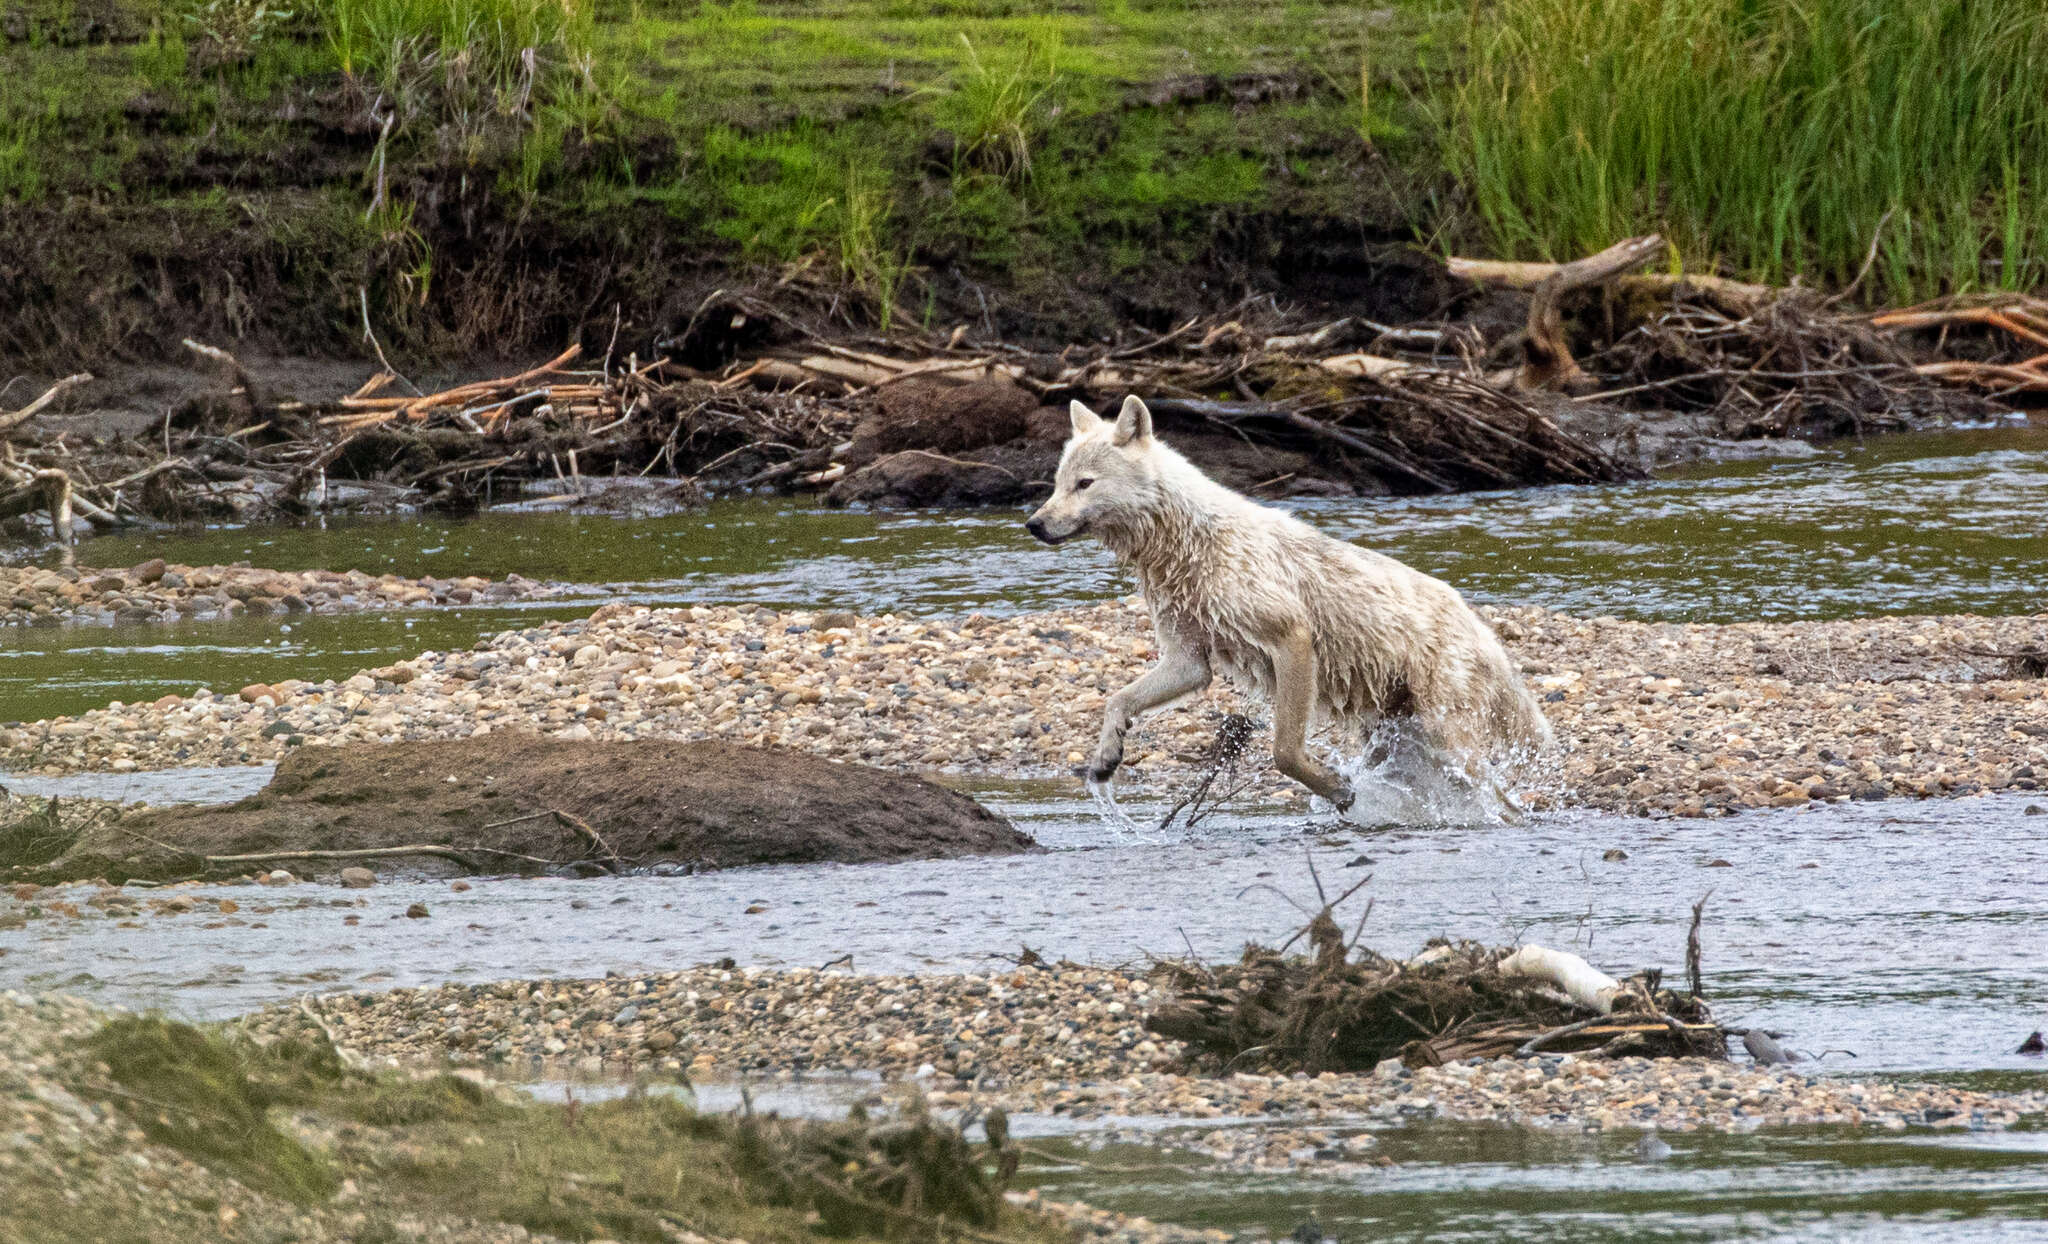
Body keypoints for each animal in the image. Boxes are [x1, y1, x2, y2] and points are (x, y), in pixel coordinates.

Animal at [1024, 393, 1548, 811]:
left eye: (1085, 483)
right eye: (1056, 483)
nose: (1033, 524)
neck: (1185, 547)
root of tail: (1482, 629)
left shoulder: (1291, 639)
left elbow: (1284, 752)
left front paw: (1337, 789)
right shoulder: (1188, 659)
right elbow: (1117, 699)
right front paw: (1105, 758)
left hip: (1448, 737)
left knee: (1503, 801)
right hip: (1400, 737)